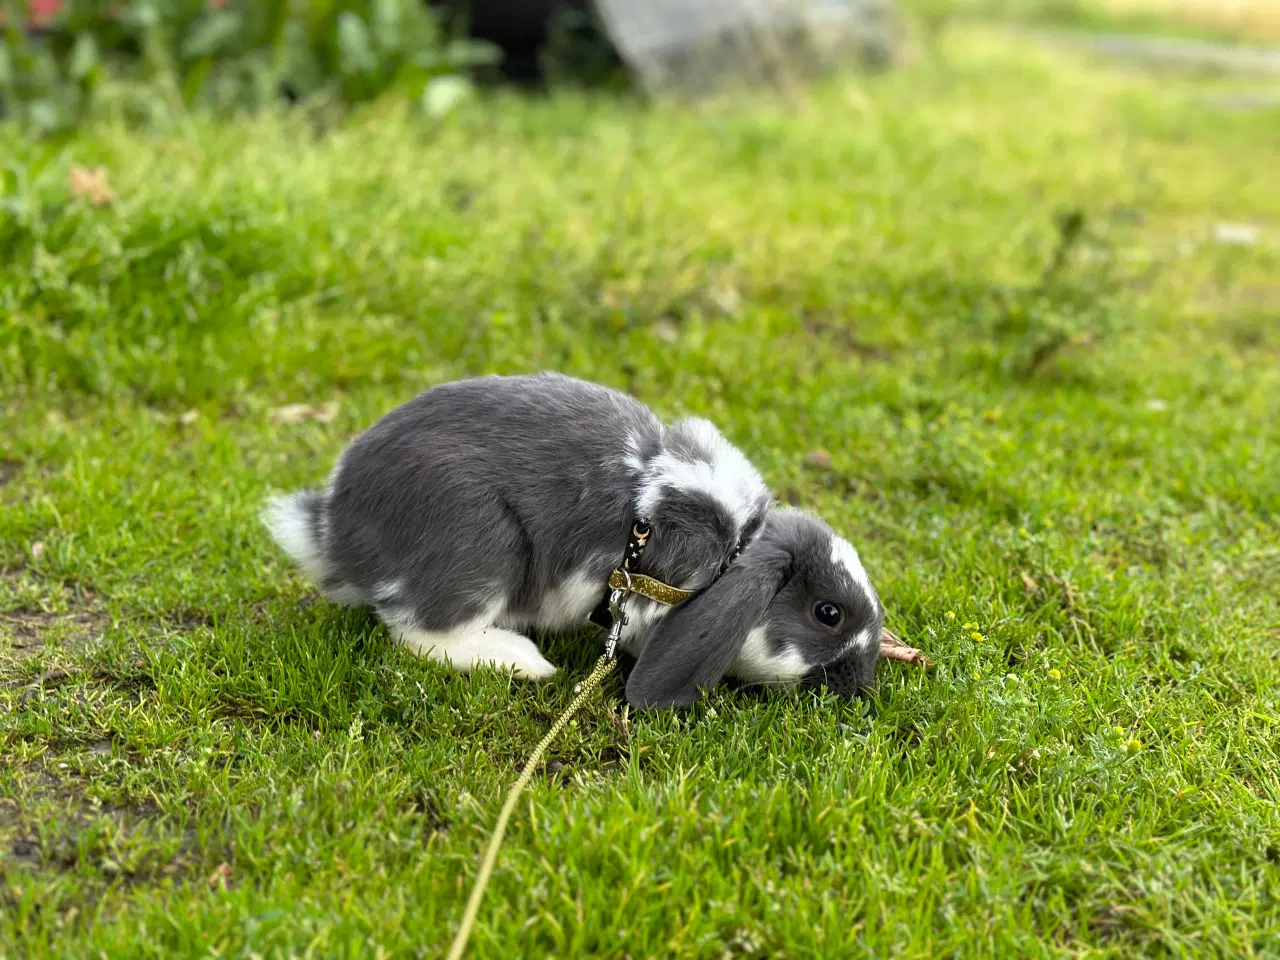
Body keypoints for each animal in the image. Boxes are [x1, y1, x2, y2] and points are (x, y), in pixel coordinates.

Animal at [259, 371, 880, 711]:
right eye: (828, 614)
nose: (860, 684)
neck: (737, 552)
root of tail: (334, 530)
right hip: (481, 546)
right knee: (421, 634)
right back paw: (521, 660)